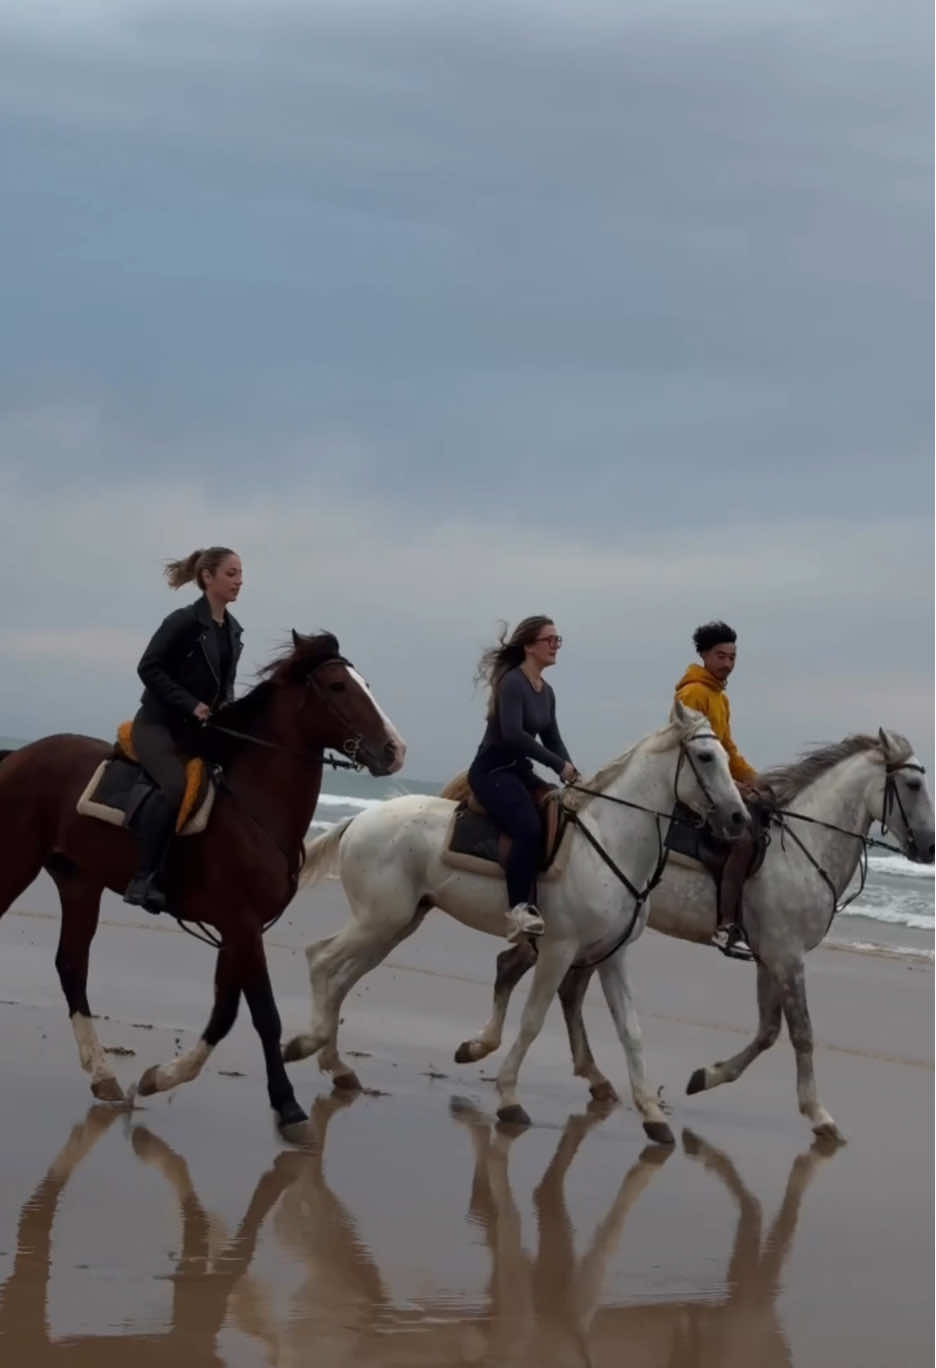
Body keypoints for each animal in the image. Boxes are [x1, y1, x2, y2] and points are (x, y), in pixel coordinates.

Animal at [0, 629, 405, 1132]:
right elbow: (264, 1014)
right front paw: (287, 1103)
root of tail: (17, 755)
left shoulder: (236, 929)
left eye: (364, 684)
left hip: (78, 883)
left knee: (72, 966)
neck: (254, 807)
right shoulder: (243, 924)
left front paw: (161, 1077)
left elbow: (225, 1012)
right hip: (16, 862)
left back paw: (103, 1076)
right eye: (337, 686)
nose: (394, 750)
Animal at [281, 705, 749, 1143]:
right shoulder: (559, 950)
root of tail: (360, 820)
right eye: (706, 756)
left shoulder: (612, 956)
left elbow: (631, 1032)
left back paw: (337, 1066)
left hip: (394, 925)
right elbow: (532, 1020)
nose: (739, 819)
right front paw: (508, 1097)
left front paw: (653, 1116)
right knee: (321, 959)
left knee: (341, 978)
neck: (609, 843)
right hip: (378, 921)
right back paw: (306, 1044)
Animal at [457, 727, 930, 1143]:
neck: (802, 848)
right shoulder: (786, 954)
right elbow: (801, 1034)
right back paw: (485, 1048)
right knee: (517, 969)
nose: (929, 846)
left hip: (599, 937)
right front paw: (818, 1114)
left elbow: (767, 1031)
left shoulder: (770, 955)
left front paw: (707, 1076)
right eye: (912, 784)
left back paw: (584, 1075)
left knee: (558, 987)